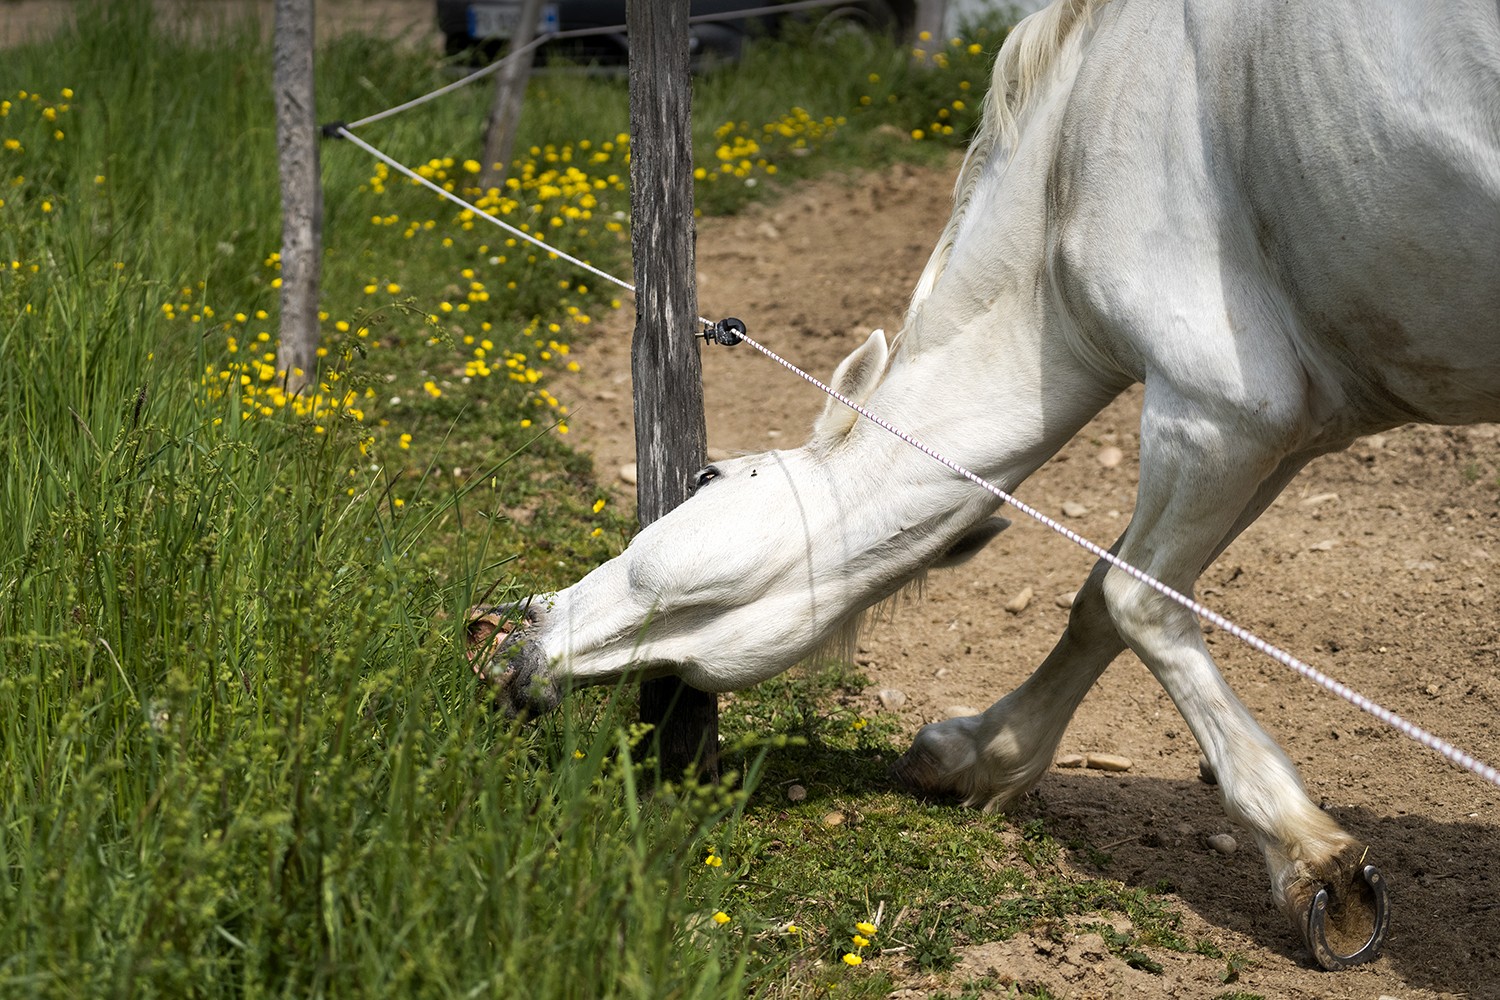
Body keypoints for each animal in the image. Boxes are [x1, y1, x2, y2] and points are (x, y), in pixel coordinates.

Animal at [468, 0, 1500, 971]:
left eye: (706, 474)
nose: (516, 651)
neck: (1079, 149)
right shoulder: (1287, 436)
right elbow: (1101, 598)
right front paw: (976, 756)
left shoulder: (1213, 413)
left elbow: (1139, 603)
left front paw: (1314, 862)